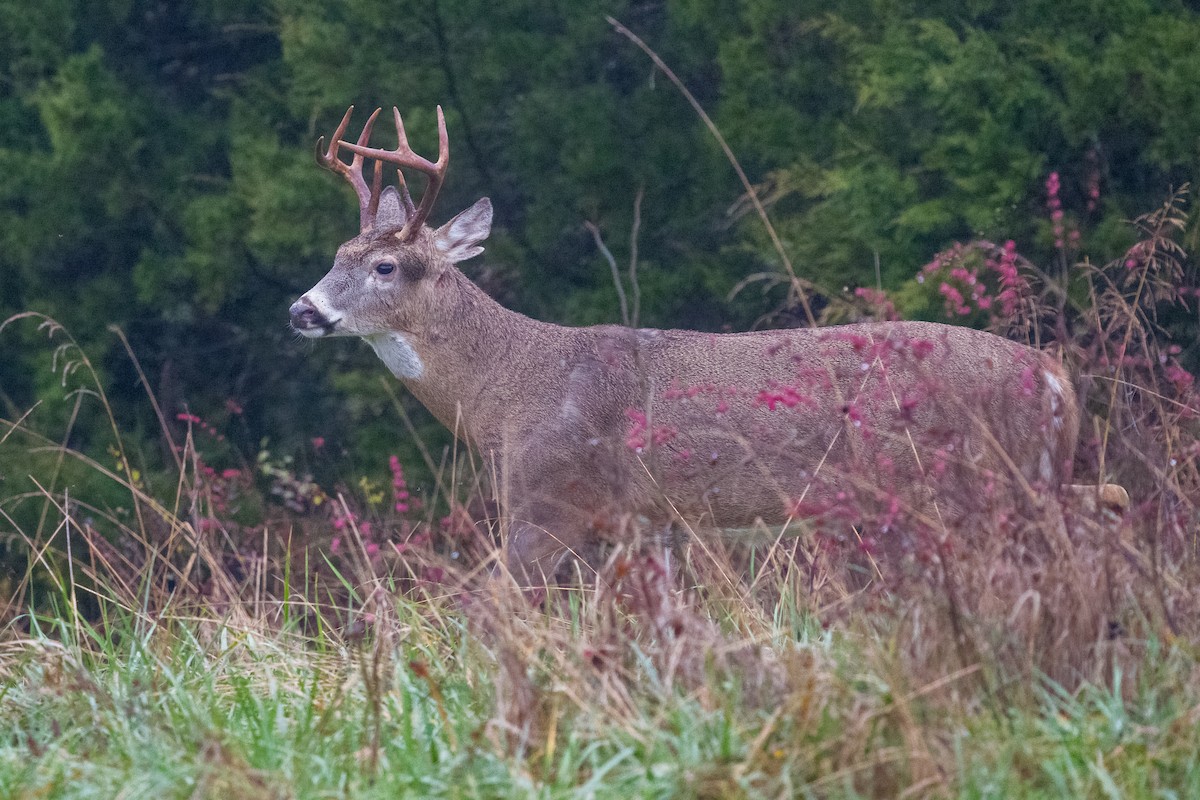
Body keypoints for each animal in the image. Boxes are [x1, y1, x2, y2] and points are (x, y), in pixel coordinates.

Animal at [290, 105, 1128, 585]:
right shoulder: (644, 521)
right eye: (334, 253)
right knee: (1108, 500)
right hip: (1025, 479)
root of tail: (1053, 375)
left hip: (976, 481)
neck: (508, 395)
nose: (302, 309)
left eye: (385, 266)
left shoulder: (551, 499)